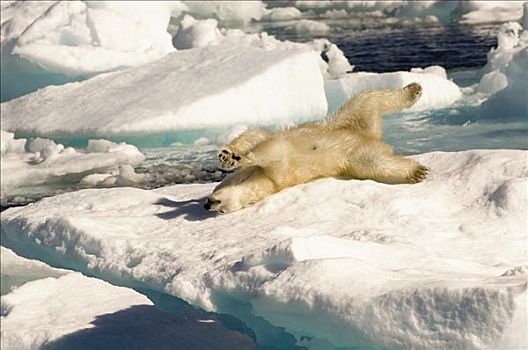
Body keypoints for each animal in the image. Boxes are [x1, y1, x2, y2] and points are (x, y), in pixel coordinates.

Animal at [204, 84, 426, 213]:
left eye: (219, 206)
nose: (207, 204)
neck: (264, 179)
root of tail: (373, 138)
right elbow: (265, 141)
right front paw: (231, 155)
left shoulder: (279, 169)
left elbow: (265, 142)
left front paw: (231, 156)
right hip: (354, 154)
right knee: (377, 161)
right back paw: (416, 171)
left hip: (340, 124)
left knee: (364, 100)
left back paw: (414, 89)